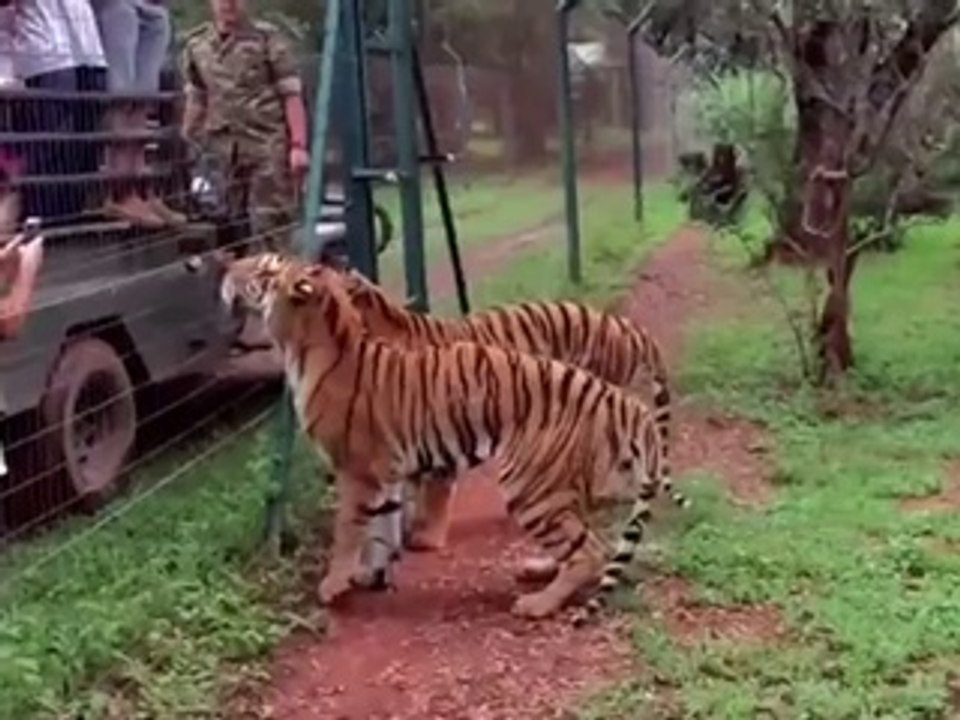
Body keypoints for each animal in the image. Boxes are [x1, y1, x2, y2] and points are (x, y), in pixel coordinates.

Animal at [219, 252, 665, 620]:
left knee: (590, 549)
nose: (225, 266)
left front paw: (334, 584)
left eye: (264, 270)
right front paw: (370, 574)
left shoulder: (358, 469)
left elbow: (349, 529)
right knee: (586, 536)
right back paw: (539, 571)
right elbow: (380, 528)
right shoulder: (386, 468)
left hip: (529, 484)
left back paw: (538, 604)